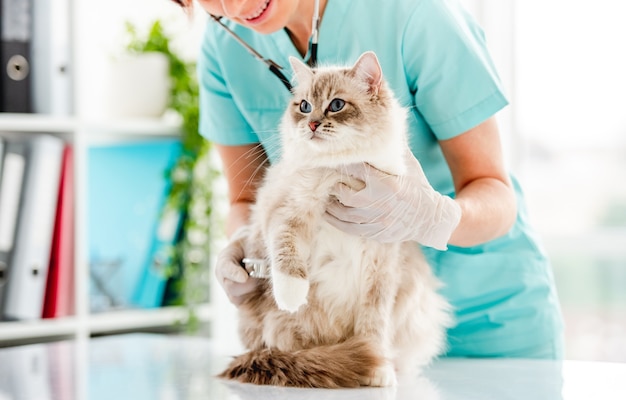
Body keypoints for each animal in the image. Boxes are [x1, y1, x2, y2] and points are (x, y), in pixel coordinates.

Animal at [217, 51, 450, 390]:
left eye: (336, 105)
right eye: (304, 106)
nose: (312, 123)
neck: (340, 170)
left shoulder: (380, 264)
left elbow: (373, 329)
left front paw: (378, 370)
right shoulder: (289, 211)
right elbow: (287, 257)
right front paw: (292, 295)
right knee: (291, 349)